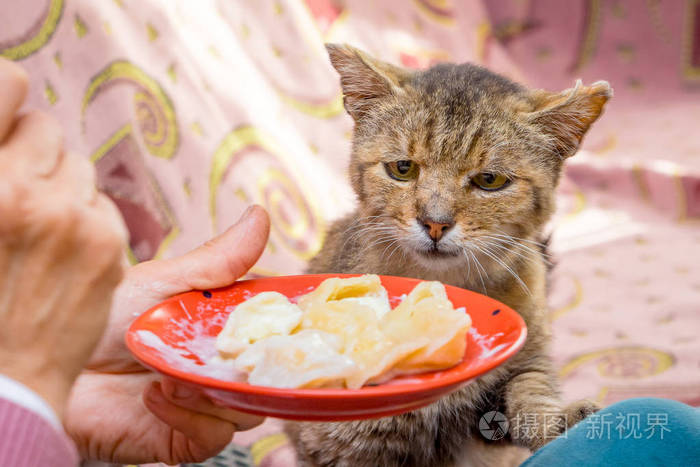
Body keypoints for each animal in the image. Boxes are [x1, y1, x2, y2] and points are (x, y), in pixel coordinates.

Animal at [284, 44, 612, 467]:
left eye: (490, 180)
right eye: (402, 169)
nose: (435, 222)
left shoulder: (523, 362)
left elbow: (530, 391)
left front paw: (562, 420)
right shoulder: (347, 440)